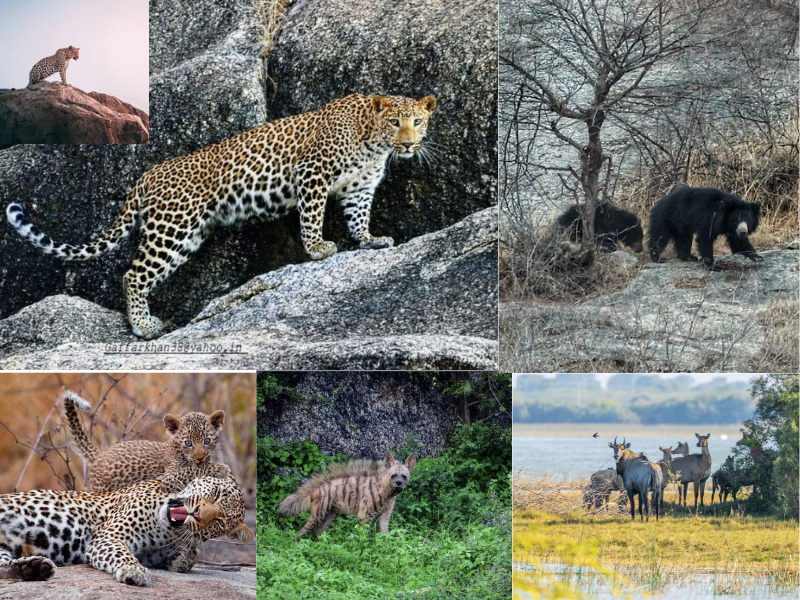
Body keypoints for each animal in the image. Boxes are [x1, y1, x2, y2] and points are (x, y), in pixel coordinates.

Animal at [0, 475, 254, 586]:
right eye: (217, 493)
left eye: (219, 523)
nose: (199, 514)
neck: (165, 531)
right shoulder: (109, 535)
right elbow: (121, 554)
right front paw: (135, 571)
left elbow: (186, 556)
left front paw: (182, 558)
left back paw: (31, 569)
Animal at [6, 93, 437, 339]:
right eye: (395, 121)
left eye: (417, 121)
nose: (409, 144)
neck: (374, 143)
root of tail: (147, 174)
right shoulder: (312, 173)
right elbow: (312, 214)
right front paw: (317, 248)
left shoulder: (359, 190)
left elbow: (359, 217)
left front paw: (369, 240)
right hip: (172, 227)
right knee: (132, 274)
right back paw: (143, 327)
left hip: (187, 237)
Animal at [62, 390, 230, 493]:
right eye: (188, 443)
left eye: (207, 441)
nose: (200, 457)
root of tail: (99, 455)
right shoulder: (168, 479)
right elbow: (192, 470)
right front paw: (220, 468)